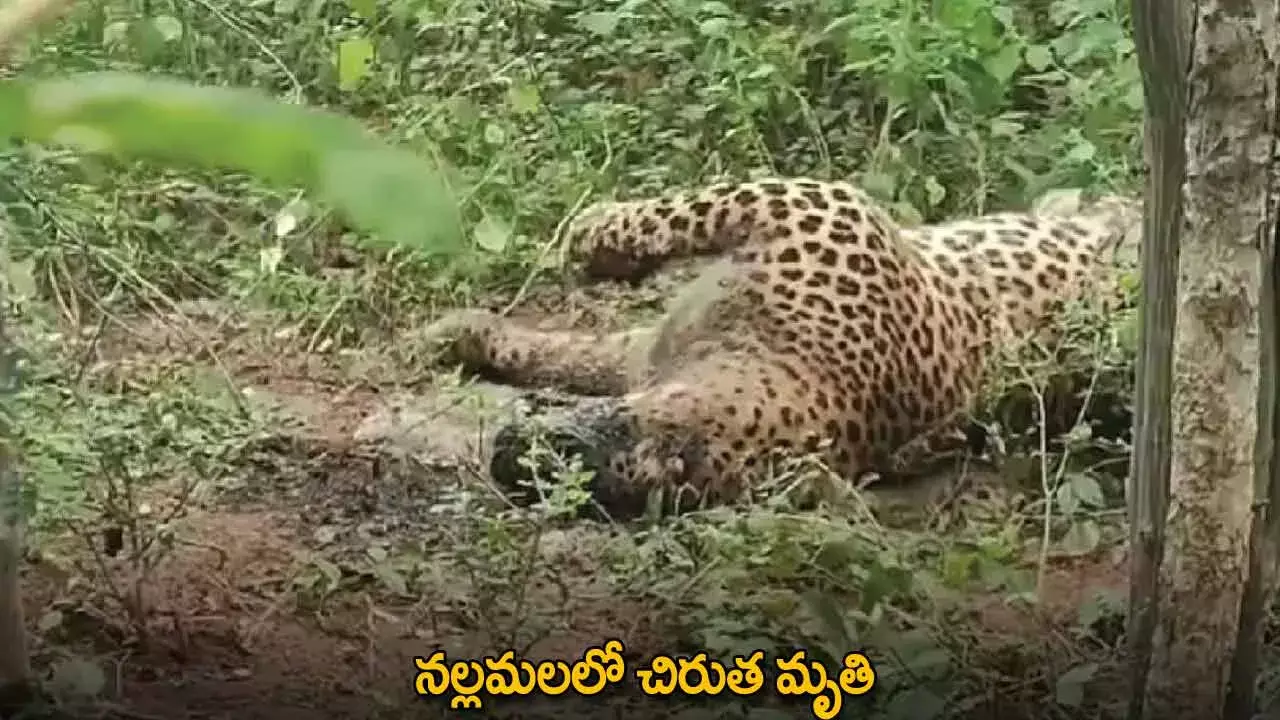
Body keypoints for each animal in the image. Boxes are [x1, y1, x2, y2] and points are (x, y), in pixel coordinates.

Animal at [419, 178, 1140, 519]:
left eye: (658, 478)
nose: (514, 465)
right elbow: (574, 349)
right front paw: (462, 333)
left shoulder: (806, 201)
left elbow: (688, 208)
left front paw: (591, 231)